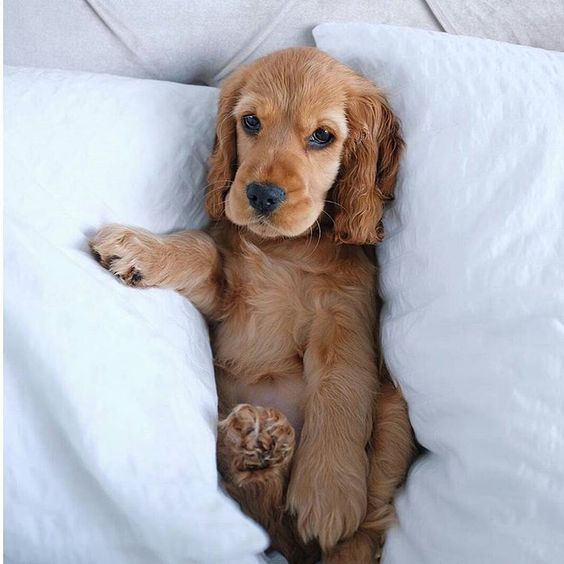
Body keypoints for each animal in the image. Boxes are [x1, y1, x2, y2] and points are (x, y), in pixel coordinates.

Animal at [91, 48, 414, 564]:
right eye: (250, 122)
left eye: (322, 136)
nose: (262, 194)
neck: (286, 248)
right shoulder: (225, 294)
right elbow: (201, 250)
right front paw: (136, 248)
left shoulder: (346, 317)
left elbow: (340, 387)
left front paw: (328, 493)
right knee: (263, 513)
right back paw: (252, 445)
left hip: (396, 414)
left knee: (362, 530)